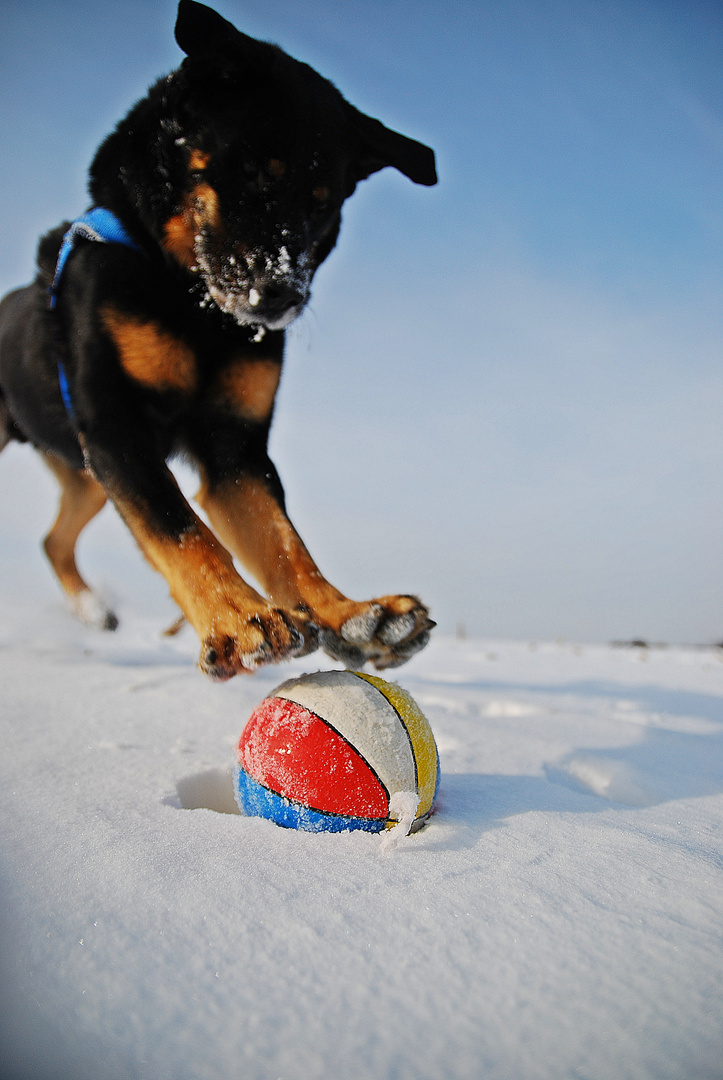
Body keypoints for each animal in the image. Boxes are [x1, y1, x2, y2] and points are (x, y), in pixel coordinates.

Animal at [0, 0, 434, 678]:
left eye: (323, 206)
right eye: (254, 172)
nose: (282, 294)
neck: (193, 305)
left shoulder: (234, 447)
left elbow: (283, 543)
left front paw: (351, 617)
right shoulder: (117, 425)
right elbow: (179, 526)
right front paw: (239, 617)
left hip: (84, 473)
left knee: (53, 538)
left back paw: (93, 611)